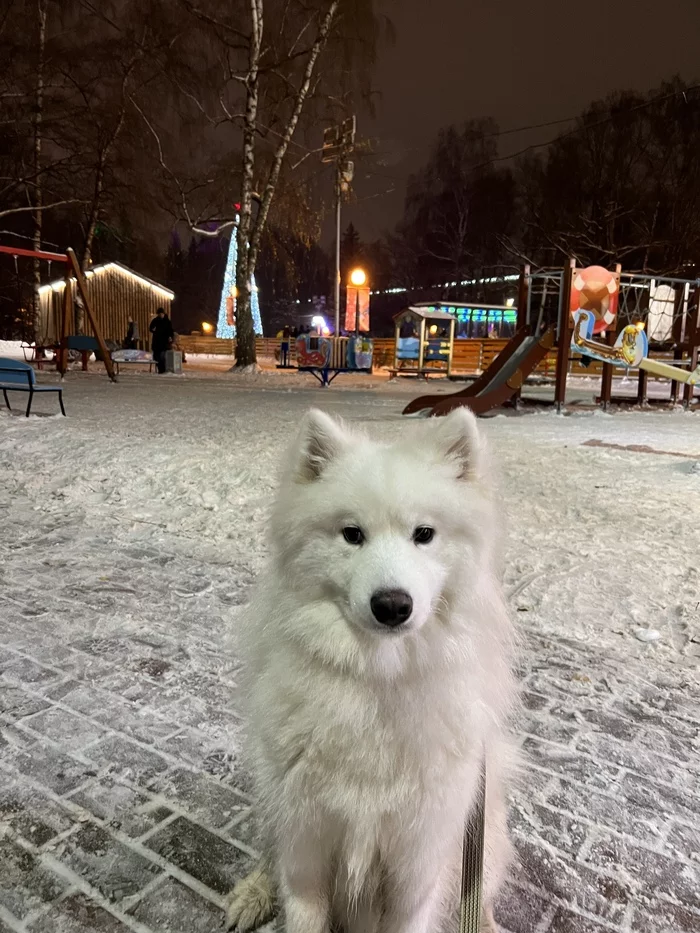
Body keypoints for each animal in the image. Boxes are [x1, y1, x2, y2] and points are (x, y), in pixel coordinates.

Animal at [227, 410, 516, 932]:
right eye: (352, 534)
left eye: (424, 534)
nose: (393, 606)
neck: (379, 681)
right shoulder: (306, 852)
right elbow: (299, 905)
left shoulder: (415, 871)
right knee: (268, 855)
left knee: (480, 895)